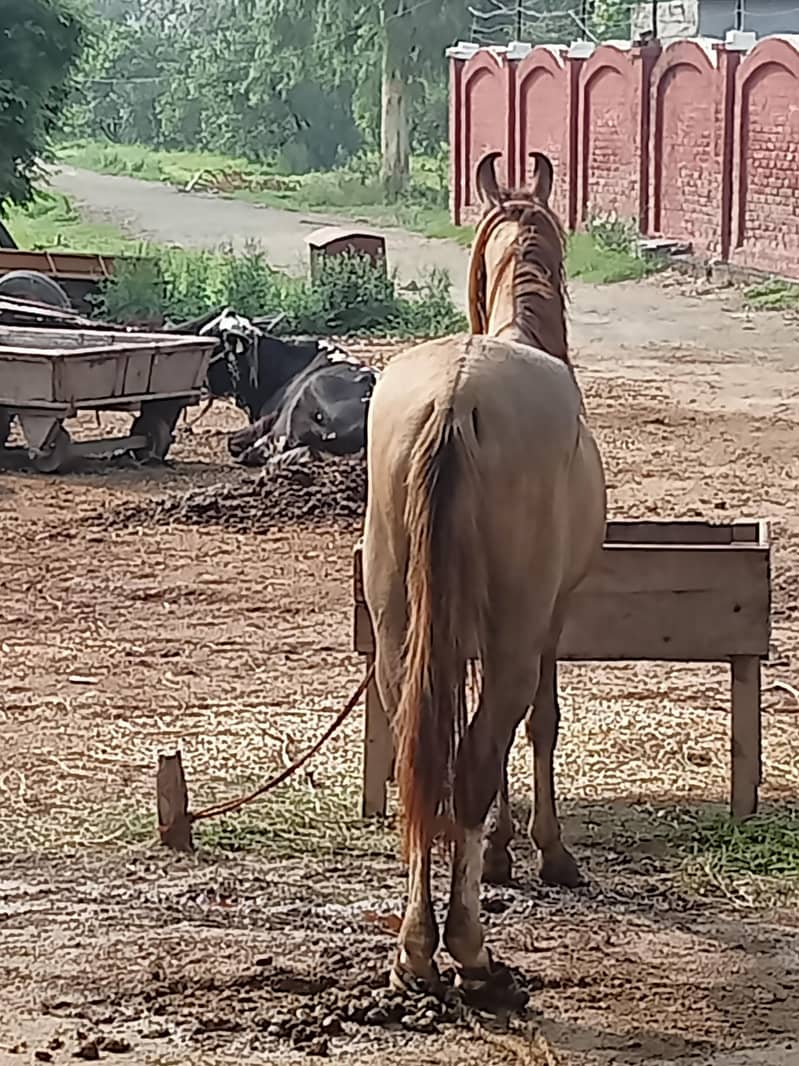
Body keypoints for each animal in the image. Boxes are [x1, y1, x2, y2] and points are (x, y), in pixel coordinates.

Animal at [361, 150, 606, 997]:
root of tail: (454, 398)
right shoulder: (550, 618)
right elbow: (539, 722)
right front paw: (536, 851)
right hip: (514, 630)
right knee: (472, 755)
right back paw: (467, 948)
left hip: (400, 629)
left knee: (426, 761)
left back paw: (413, 948)